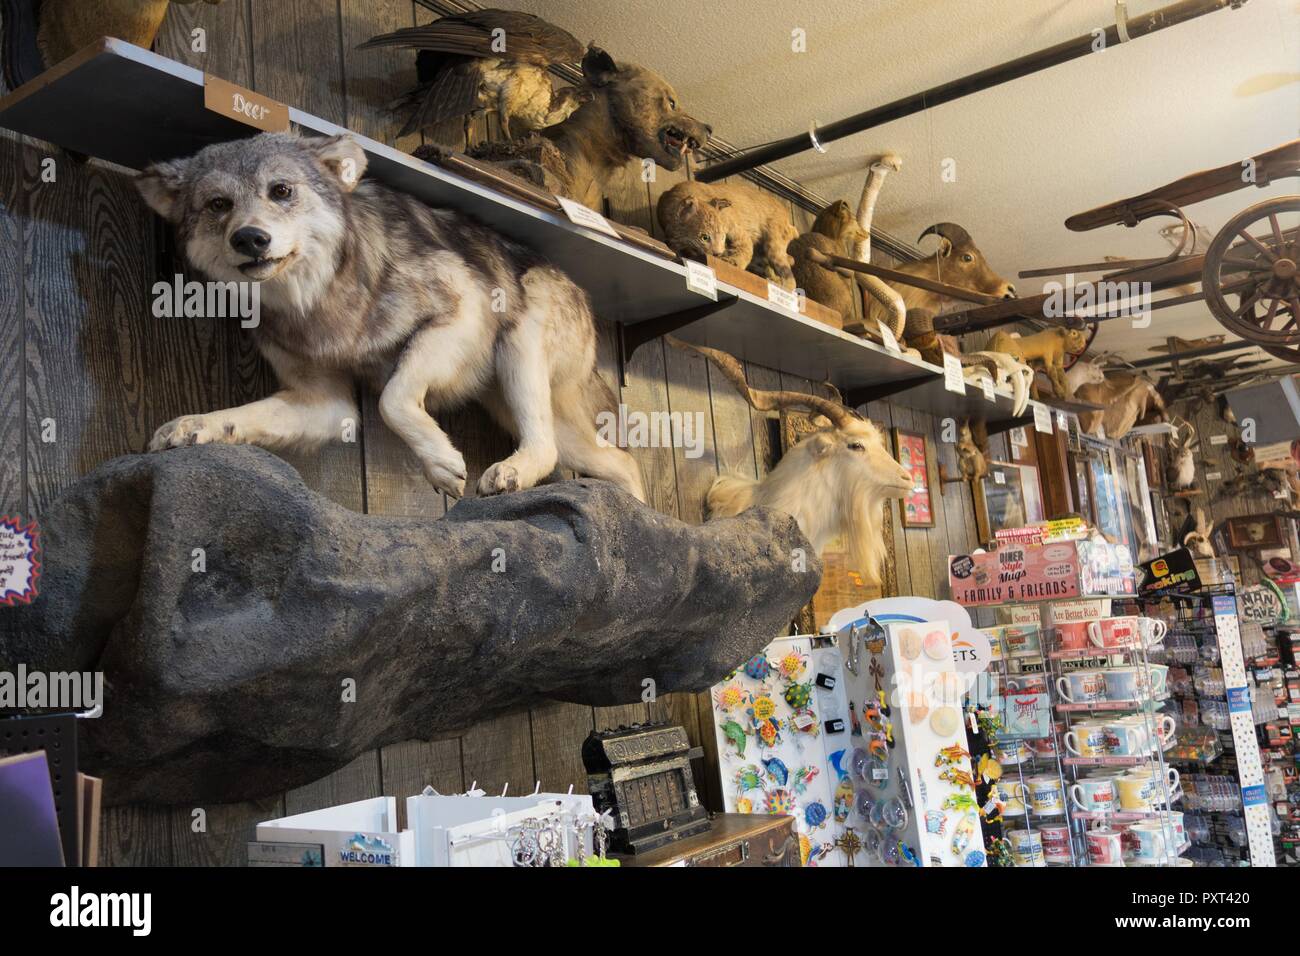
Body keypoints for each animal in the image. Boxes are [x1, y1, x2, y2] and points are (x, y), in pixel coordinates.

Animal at [135, 132, 644, 502]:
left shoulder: (465, 311)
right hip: (522, 405)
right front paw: (189, 426)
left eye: (280, 191)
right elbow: (237, 416)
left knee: (556, 448)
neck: (316, 299)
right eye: (218, 204)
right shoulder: (324, 404)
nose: (250, 239)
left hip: (519, 343)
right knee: (617, 461)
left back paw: (519, 474)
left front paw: (441, 463)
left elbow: (393, 398)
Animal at [660, 179, 800, 290]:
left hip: (774, 241)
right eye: (704, 238)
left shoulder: (738, 230)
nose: (717, 254)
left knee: (789, 276)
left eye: (723, 236)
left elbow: (746, 249)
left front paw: (733, 262)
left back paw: (783, 286)